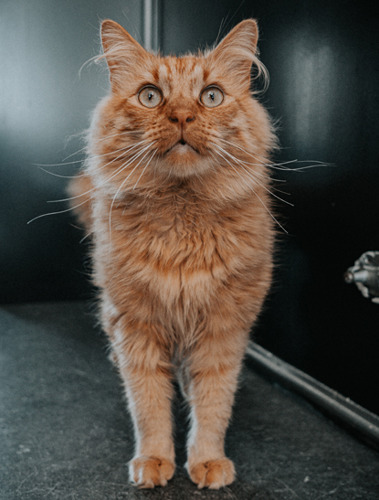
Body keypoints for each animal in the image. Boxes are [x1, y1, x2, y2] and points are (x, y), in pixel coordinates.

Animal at [69, 18, 276, 488]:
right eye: (150, 96)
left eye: (211, 96)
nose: (182, 115)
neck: (182, 224)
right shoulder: (135, 327)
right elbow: (148, 405)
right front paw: (154, 460)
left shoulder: (223, 329)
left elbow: (214, 403)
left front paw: (208, 460)